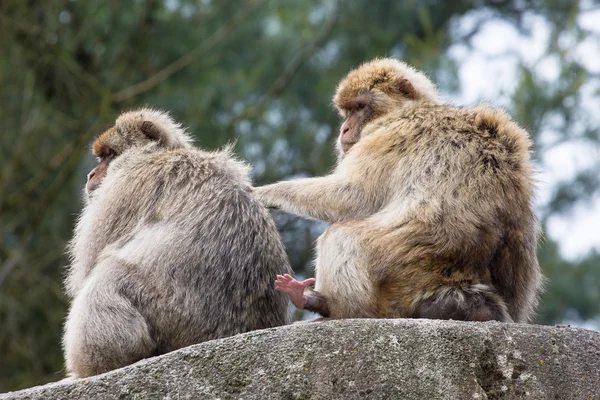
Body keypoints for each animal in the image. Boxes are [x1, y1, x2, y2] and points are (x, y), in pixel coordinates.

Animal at [63, 108, 292, 378]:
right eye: (101, 157)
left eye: (109, 155)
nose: (91, 174)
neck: (156, 154)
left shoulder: (124, 186)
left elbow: (91, 264)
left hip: (174, 315)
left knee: (108, 276)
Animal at [254, 57, 544, 324]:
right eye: (347, 111)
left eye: (360, 107)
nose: (344, 129)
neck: (410, 109)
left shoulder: (387, 135)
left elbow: (353, 195)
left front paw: (266, 193)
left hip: (402, 273)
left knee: (341, 235)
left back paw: (329, 305)